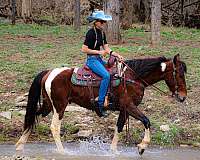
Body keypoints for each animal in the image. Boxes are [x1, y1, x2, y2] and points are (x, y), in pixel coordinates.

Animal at [16, 53, 188, 155]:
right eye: (179, 74)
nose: (183, 97)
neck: (132, 77)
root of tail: (49, 72)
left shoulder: (124, 109)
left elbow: (119, 127)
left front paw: (114, 151)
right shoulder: (130, 106)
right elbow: (146, 120)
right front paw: (142, 146)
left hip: (47, 105)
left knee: (32, 117)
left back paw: (20, 145)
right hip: (59, 106)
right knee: (54, 127)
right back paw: (62, 152)